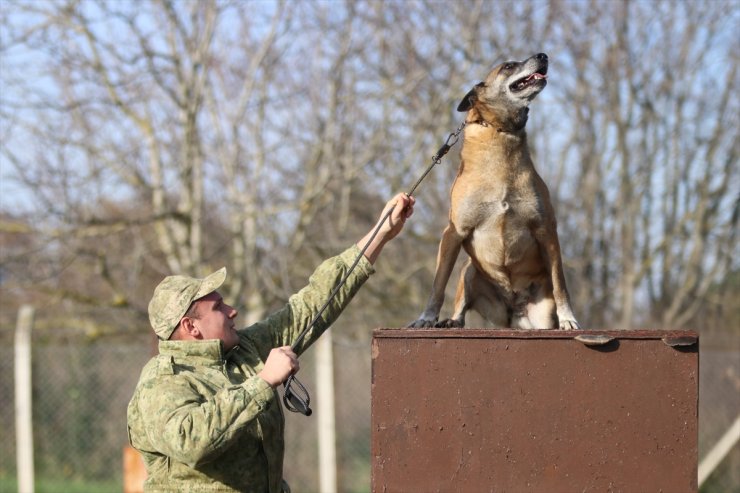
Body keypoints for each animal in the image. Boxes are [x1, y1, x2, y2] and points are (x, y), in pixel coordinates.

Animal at [408, 52, 580, 330]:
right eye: (508, 66)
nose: (543, 55)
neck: (501, 133)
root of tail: (512, 312)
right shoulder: (453, 232)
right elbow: (438, 284)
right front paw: (426, 318)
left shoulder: (547, 230)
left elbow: (560, 283)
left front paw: (568, 319)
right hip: (468, 270)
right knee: (461, 307)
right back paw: (451, 321)